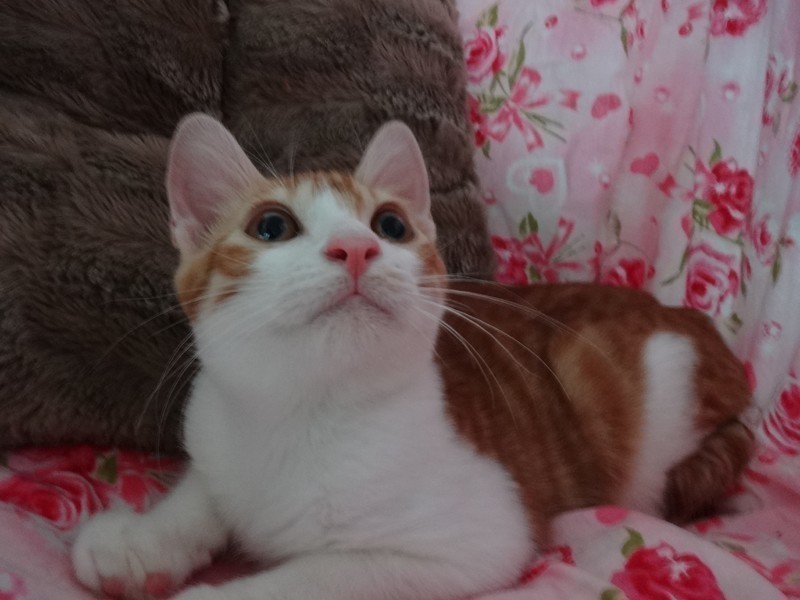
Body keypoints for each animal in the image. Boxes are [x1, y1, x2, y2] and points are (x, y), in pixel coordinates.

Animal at [71, 113, 754, 600]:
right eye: (271, 226)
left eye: (391, 226)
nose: (355, 247)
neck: (303, 413)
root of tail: (693, 320)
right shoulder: (221, 429)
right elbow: (207, 489)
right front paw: (143, 538)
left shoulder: (476, 535)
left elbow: (314, 577)